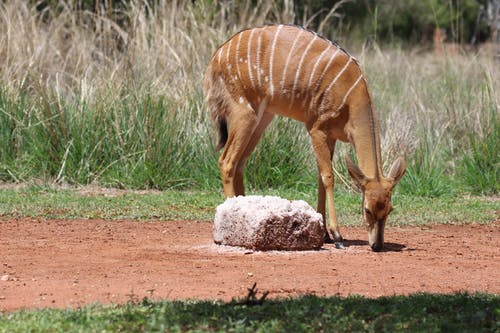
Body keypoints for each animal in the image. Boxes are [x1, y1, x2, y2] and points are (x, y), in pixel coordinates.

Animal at [203, 25, 406, 249]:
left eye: (390, 209)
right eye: (367, 209)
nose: (377, 245)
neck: (352, 99)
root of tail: (215, 58)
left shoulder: (331, 136)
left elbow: (320, 178)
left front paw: (325, 234)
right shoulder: (316, 128)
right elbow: (328, 177)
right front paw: (337, 236)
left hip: (262, 117)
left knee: (240, 162)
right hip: (244, 112)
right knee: (226, 161)